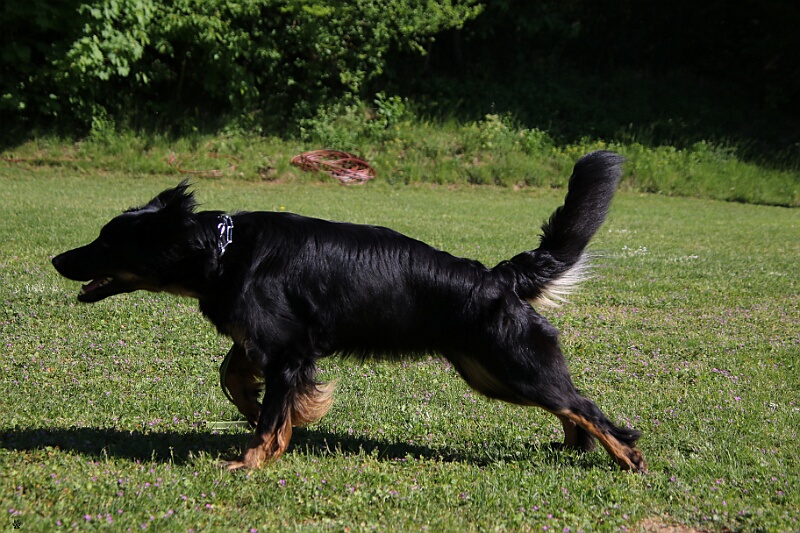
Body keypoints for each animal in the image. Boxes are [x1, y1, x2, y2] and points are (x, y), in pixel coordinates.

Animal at [52, 151, 645, 472]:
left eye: (106, 242)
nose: (57, 259)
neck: (221, 250)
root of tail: (497, 278)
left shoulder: (289, 351)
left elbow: (267, 412)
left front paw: (251, 459)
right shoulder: (271, 342)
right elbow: (235, 374)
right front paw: (265, 411)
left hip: (509, 365)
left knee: (586, 406)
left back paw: (627, 458)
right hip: (490, 373)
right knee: (571, 406)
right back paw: (576, 446)